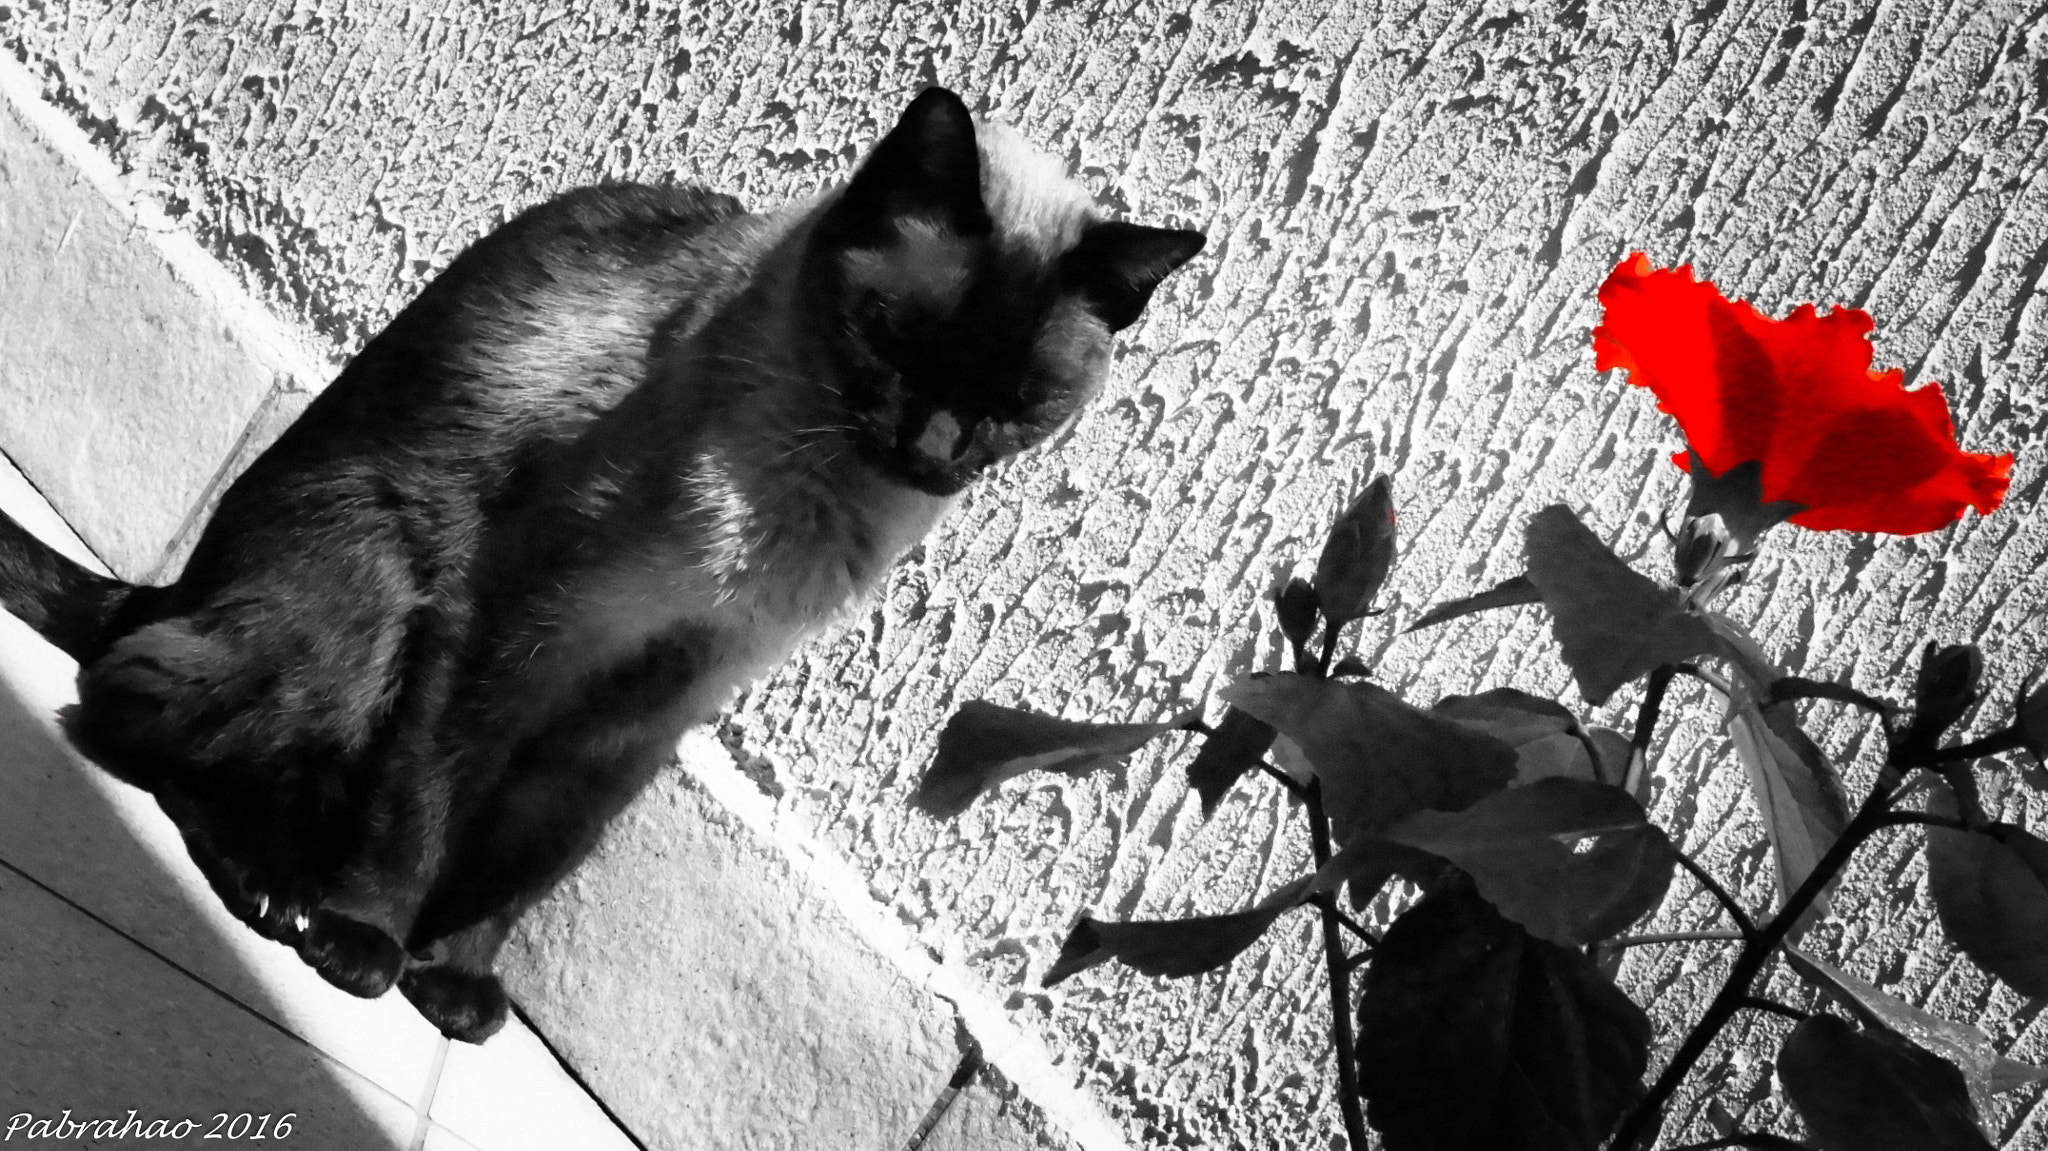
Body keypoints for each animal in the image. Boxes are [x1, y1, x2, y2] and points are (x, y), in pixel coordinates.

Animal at [0, 87, 1196, 1040]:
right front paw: (370, 941)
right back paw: (275, 884)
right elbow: (424, 806)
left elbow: (526, 855)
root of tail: (171, 586)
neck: (804, 513)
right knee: (130, 705)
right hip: (374, 587)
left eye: (1020, 404)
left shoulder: (649, 704)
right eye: (897, 337)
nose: (936, 453)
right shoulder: (520, 622)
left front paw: (452, 978)